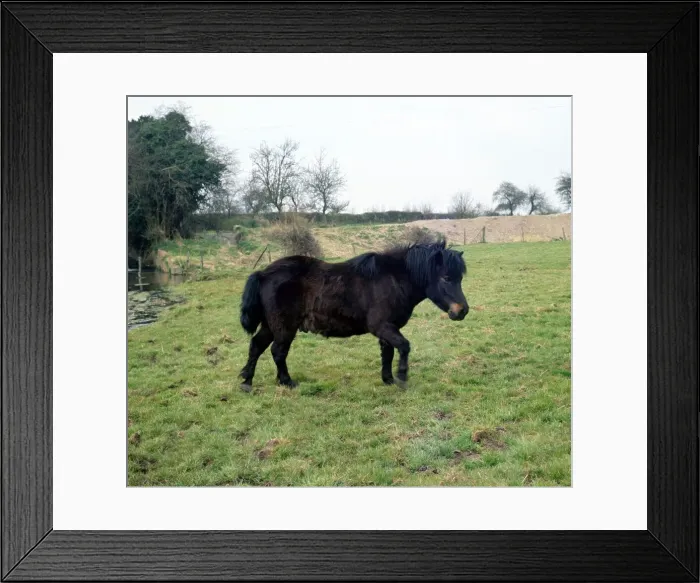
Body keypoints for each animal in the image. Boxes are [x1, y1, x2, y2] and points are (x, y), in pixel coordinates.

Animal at [238, 238, 469, 392]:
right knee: (278, 351)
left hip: (270, 325)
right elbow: (404, 346)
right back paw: (286, 381)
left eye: (460, 278)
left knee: (256, 346)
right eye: (446, 277)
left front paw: (388, 379)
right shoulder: (382, 326)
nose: (462, 311)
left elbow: (388, 353)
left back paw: (247, 382)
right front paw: (402, 377)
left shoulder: (388, 329)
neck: (392, 280)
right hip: (284, 327)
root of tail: (263, 274)